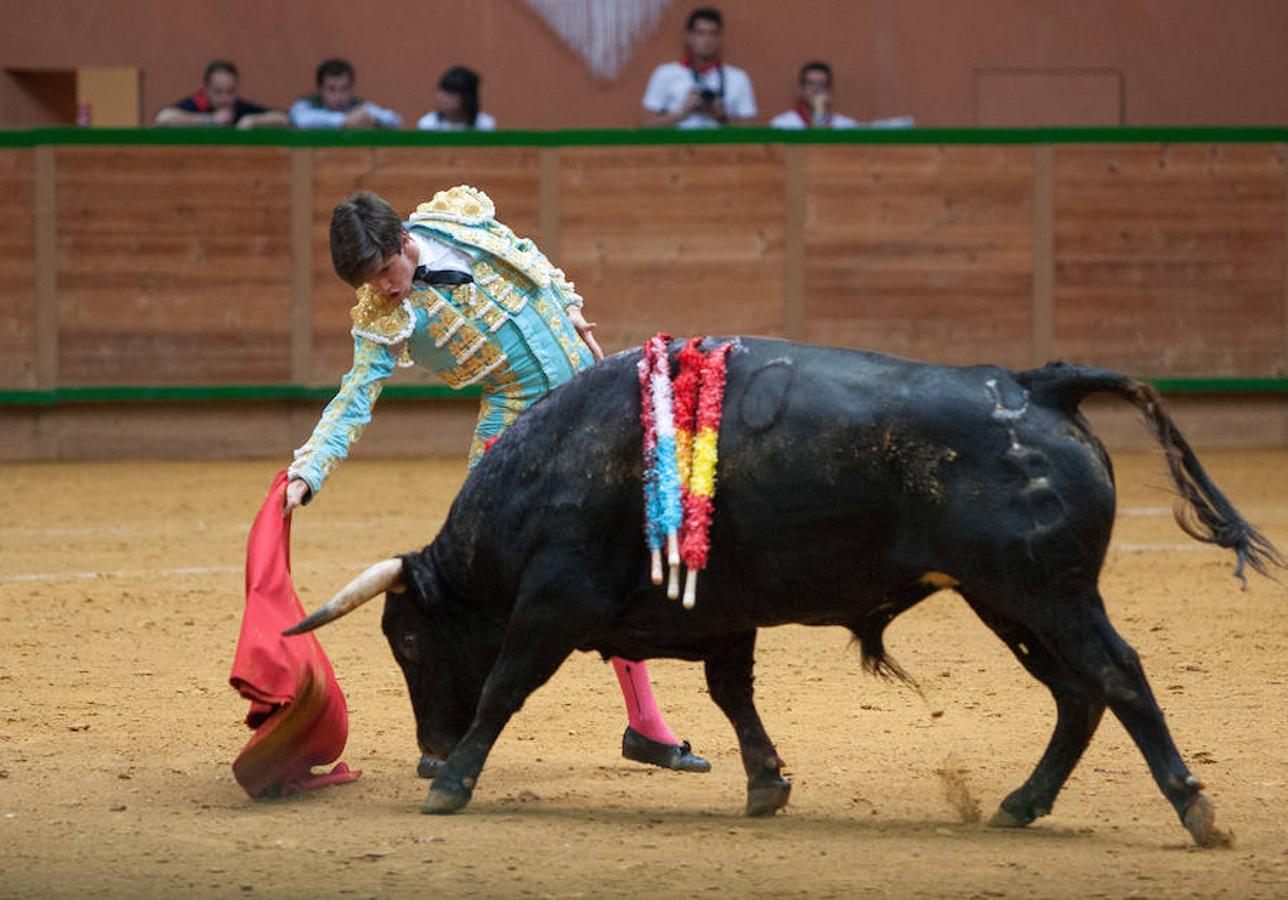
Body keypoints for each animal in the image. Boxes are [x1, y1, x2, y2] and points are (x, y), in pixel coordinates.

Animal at [287, 337, 1282, 844]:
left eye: (407, 641)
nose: (426, 752)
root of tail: (1036, 386)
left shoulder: (550, 605)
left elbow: (502, 688)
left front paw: (454, 784)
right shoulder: (721, 616)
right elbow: (734, 696)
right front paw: (766, 784)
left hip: (1050, 592)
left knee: (1117, 676)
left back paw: (1194, 808)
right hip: (1008, 601)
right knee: (1078, 694)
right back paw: (1019, 804)